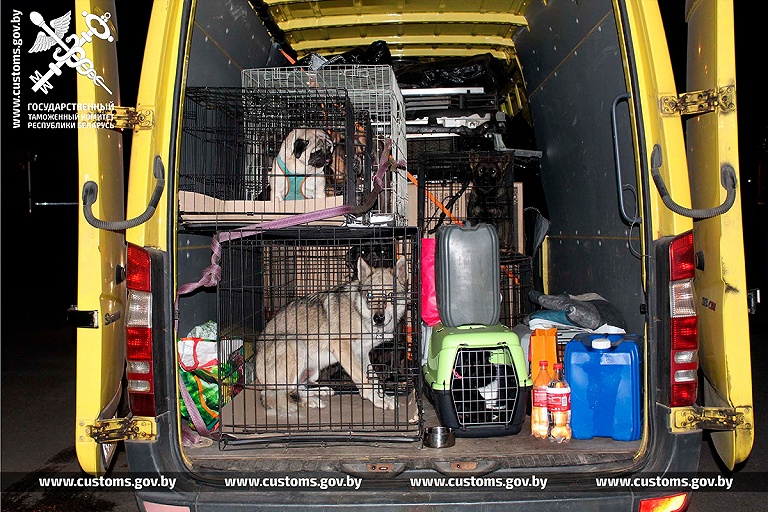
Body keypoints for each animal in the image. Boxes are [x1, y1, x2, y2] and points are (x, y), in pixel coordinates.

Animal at [255, 254, 408, 414]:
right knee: (280, 394)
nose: (378, 318)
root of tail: (256, 380)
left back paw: (321, 391)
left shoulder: (363, 353)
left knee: (297, 389)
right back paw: (311, 401)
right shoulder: (342, 347)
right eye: (370, 295)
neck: (359, 312)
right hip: (295, 344)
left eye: (390, 295)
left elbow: (375, 381)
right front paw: (379, 400)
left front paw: (384, 397)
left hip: (313, 370)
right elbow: (364, 380)